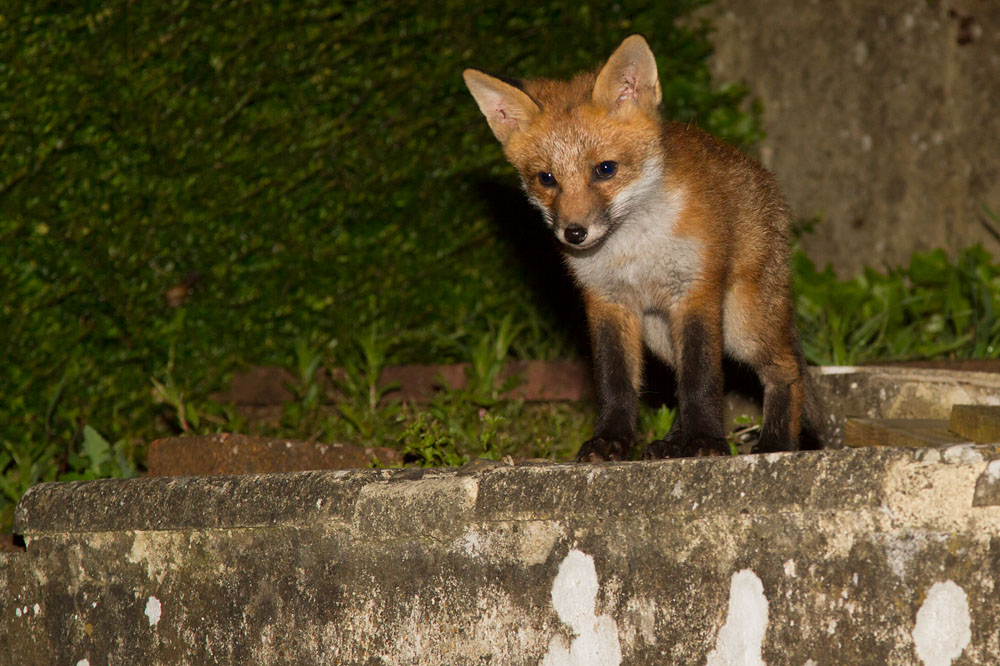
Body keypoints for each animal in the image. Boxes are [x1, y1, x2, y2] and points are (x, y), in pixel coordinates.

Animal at [463, 35, 820, 461]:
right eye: (546, 179)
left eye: (605, 169)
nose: (574, 233)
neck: (632, 252)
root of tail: (767, 181)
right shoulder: (607, 302)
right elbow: (616, 382)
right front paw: (611, 440)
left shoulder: (695, 292)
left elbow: (701, 379)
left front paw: (704, 440)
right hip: (660, 333)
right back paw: (672, 443)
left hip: (741, 324)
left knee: (787, 369)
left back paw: (777, 443)